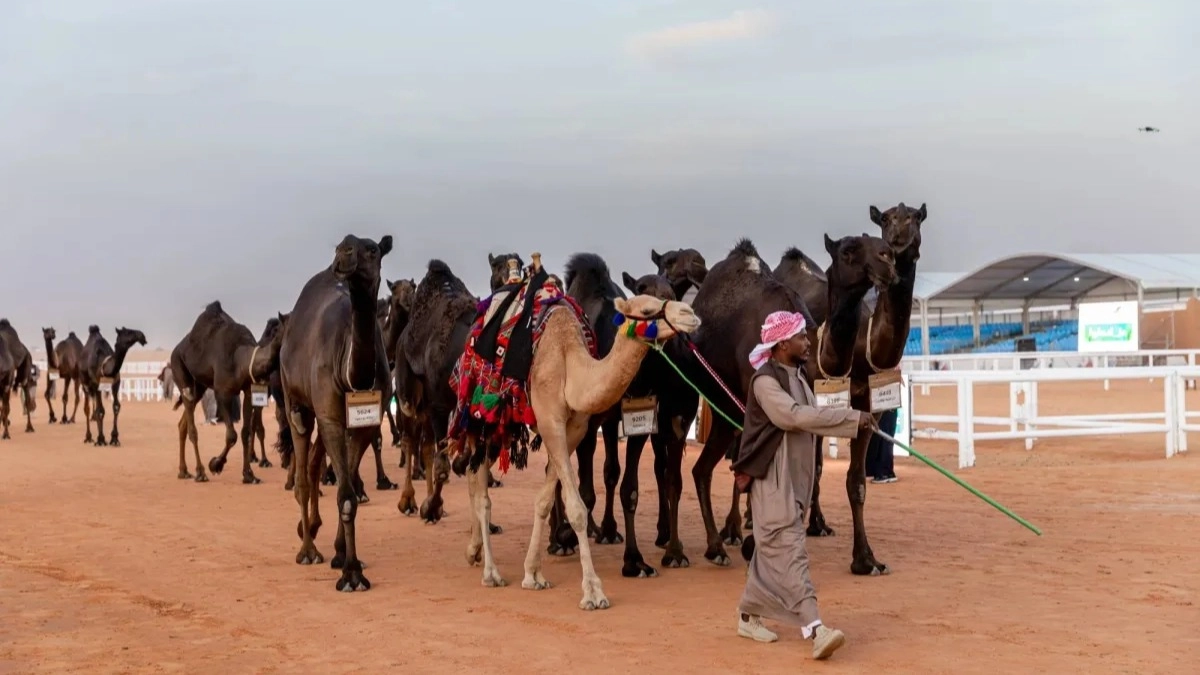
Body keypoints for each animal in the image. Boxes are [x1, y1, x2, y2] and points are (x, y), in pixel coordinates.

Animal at [456, 253, 700, 610]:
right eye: (645, 308)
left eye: (669, 295)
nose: (690, 315)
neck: (571, 362)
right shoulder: (550, 422)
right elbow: (577, 507)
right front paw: (593, 591)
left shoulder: (575, 427)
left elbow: (545, 499)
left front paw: (533, 574)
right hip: (480, 415)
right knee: (481, 490)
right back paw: (491, 571)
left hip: (503, 422)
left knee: (477, 481)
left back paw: (475, 553)